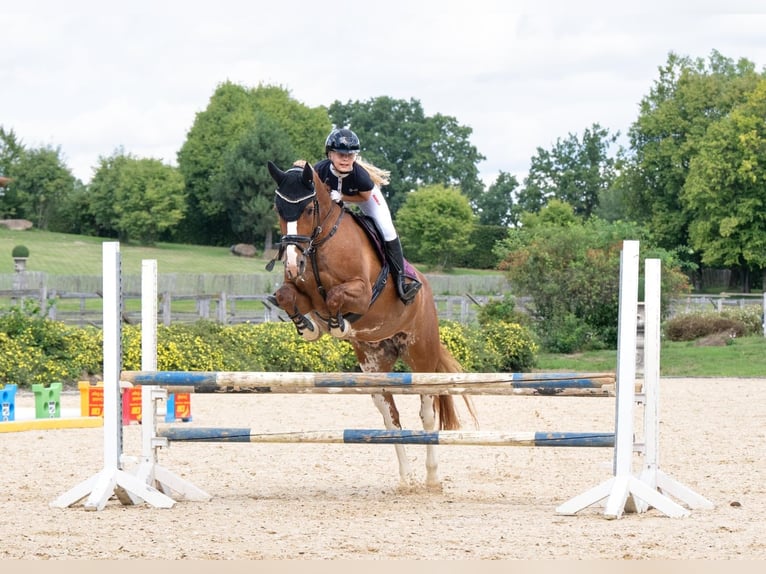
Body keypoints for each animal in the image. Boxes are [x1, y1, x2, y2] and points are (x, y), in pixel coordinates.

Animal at [266, 160, 477, 489]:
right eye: (278, 209)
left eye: (309, 209)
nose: (291, 263)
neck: (321, 243)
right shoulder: (301, 292)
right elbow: (287, 295)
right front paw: (309, 327)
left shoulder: (363, 294)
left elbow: (336, 296)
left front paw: (337, 324)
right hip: (375, 363)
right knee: (391, 417)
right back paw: (406, 478)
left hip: (421, 355)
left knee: (427, 413)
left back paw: (431, 478)